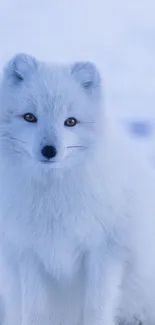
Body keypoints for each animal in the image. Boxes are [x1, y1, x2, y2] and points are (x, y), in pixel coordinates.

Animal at [0, 53, 155, 324]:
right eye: (30, 117)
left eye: (70, 122)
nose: (49, 150)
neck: (53, 199)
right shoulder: (29, 254)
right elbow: (35, 311)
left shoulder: (105, 251)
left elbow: (96, 308)